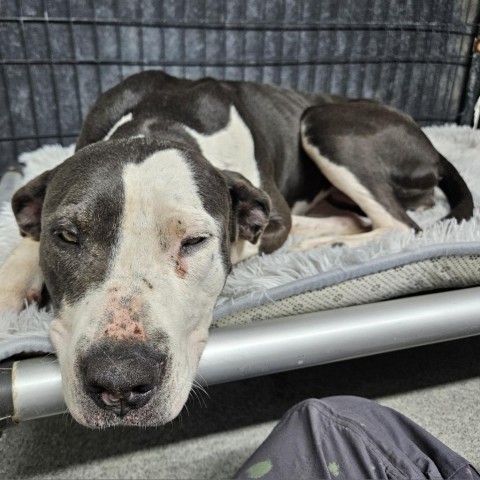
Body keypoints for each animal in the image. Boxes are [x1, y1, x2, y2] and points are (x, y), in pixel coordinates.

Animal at [0, 70, 472, 428]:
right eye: (66, 236)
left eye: (195, 241)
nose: (119, 382)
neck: (159, 122)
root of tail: (429, 143)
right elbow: (26, 235)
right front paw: (12, 288)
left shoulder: (272, 216)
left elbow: (249, 236)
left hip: (325, 123)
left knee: (399, 224)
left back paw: (330, 237)